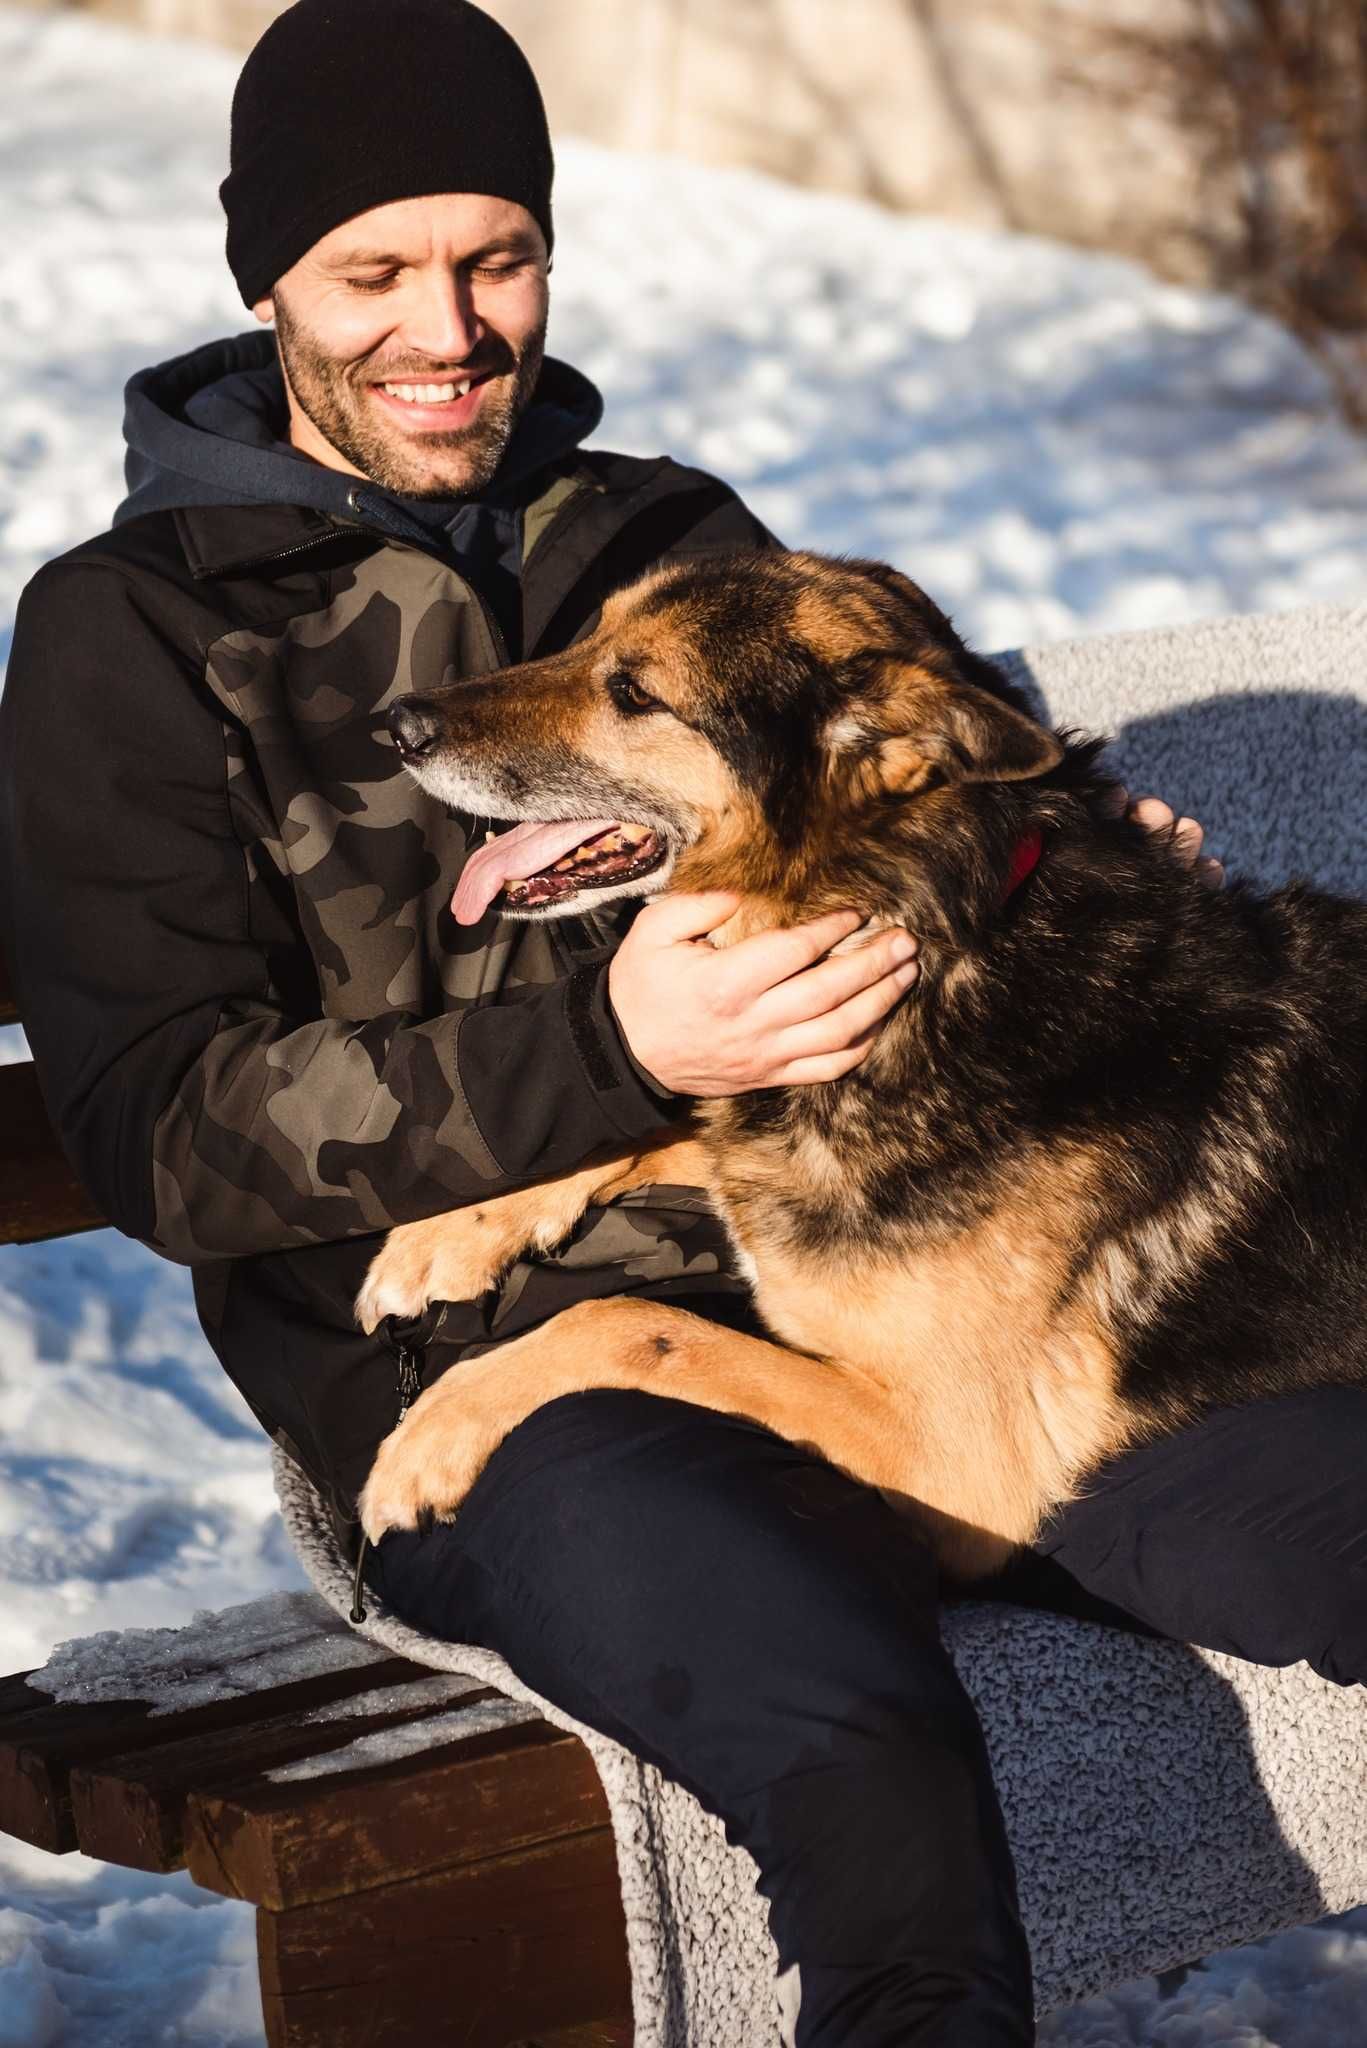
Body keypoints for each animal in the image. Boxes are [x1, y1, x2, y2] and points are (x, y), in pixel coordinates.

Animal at [348, 552, 1367, 1572]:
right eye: (591, 632)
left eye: (633, 692)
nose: (396, 725)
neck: (932, 940)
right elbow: (658, 1129)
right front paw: (446, 1234)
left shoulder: (951, 1460)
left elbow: (642, 1325)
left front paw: (437, 1429)